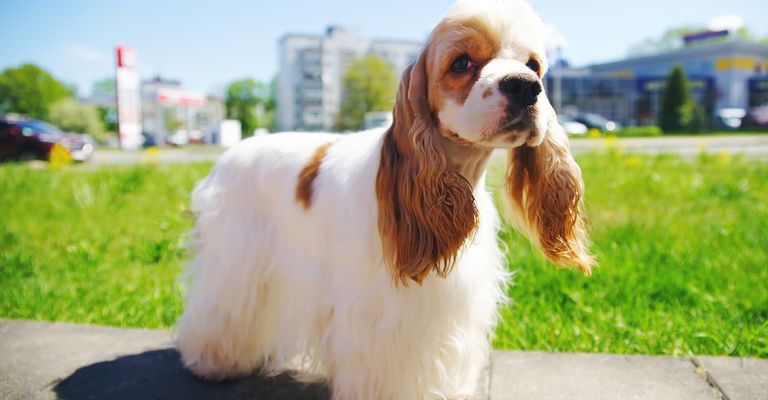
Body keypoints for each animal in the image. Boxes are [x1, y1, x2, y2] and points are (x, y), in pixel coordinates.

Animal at [178, 1, 592, 398]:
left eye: (534, 66)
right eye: (461, 63)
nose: (526, 87)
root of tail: (228, 154)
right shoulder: (376, 317)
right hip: (236, 258)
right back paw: (213, 360)